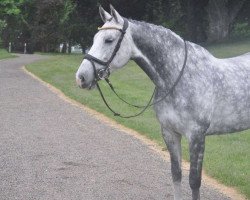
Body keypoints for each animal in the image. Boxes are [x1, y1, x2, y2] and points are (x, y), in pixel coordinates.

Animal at [76, 5, 250, 200]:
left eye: (109, 40)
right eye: (94, 39)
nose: (81, 77)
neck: (178, 77)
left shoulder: (196, 136)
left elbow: (194, 181)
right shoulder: (169, 133)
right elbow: (176, 174)